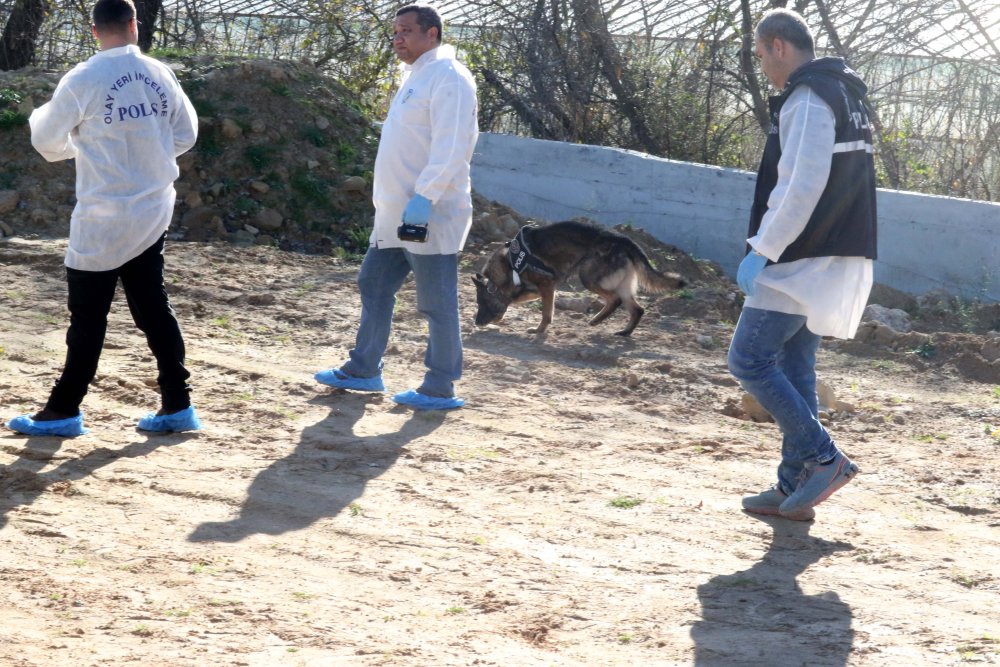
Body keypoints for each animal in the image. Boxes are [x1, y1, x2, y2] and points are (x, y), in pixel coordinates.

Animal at [472, 222, 684, 336]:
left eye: (481, 303)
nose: (476, 322)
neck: (508, 264)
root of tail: (623, 239)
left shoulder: (546, 286)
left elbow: (546, 313)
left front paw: (539, 330)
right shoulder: (538, 289)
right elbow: (519, 299)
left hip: (588, 277)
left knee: (615, 299)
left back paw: (599, 321)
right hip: (620, 285)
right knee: (637, 309)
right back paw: (623, 331)